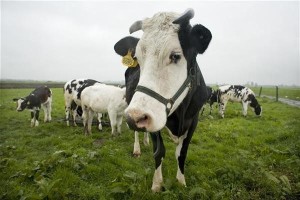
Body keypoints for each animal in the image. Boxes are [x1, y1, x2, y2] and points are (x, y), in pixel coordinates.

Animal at [114, 8, 211, 192]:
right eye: (138, 58)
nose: (135, 117)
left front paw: (181, 181)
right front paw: (157, 184)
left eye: (175, 56)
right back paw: (137, 148)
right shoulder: (153, 117)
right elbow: (159, 152)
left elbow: (182, 153)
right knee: (137, 133)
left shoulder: (193, 119)